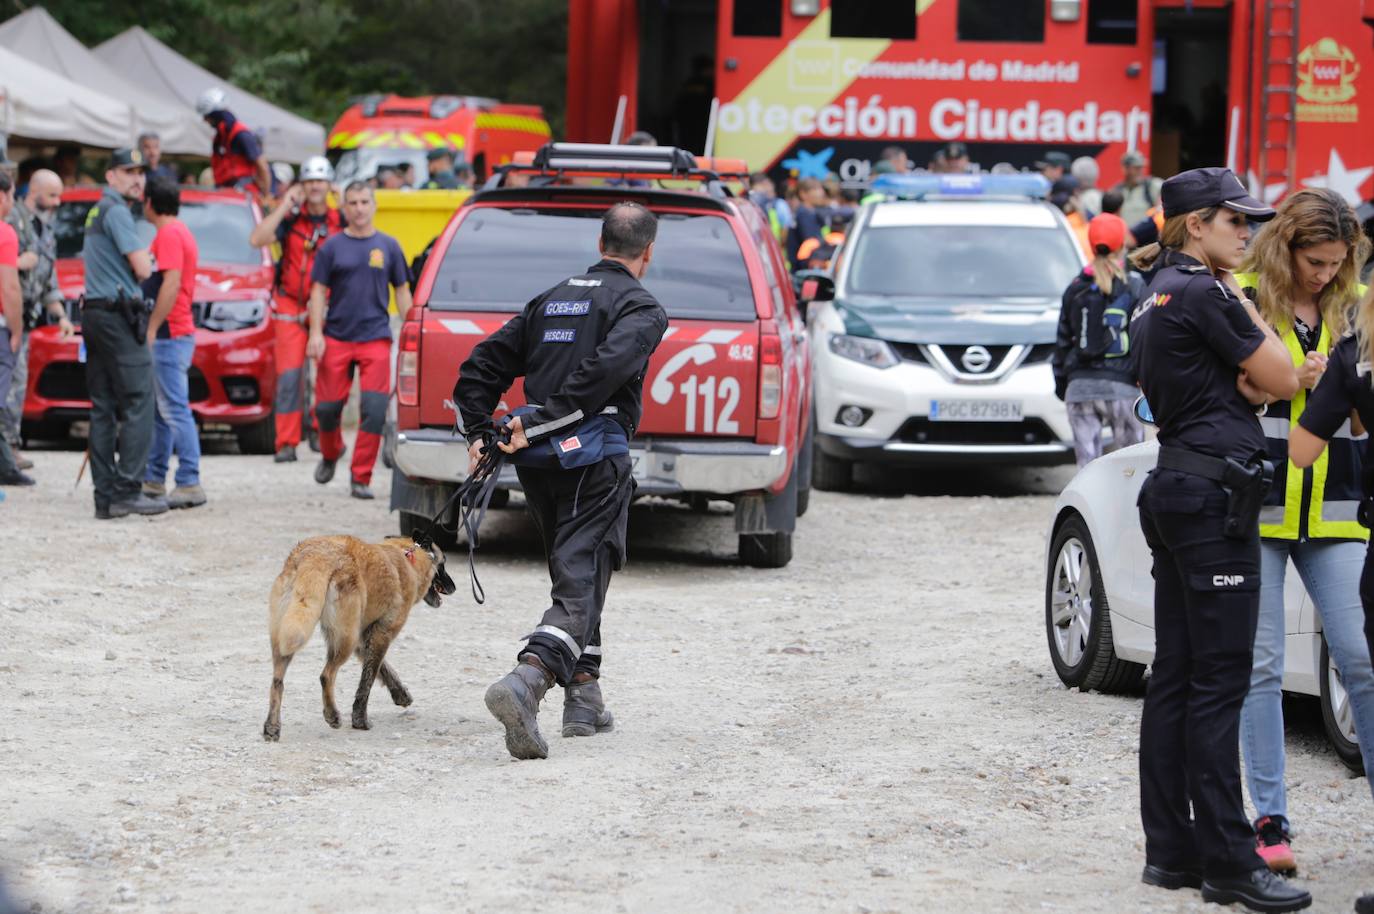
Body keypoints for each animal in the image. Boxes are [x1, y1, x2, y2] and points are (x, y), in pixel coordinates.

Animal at [258, 536, 450, 742]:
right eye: (443, 565)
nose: (453, 588)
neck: (406, 558)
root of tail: (316, 556)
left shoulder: (364, 639)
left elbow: (385, 670)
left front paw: (401, 694)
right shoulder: (382, 634)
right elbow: (368, 680)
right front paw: (360, 720)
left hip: (285, 639)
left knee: (277, 682)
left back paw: (272, 727)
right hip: (344, 640)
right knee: (326, 675)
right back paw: (332, 715)